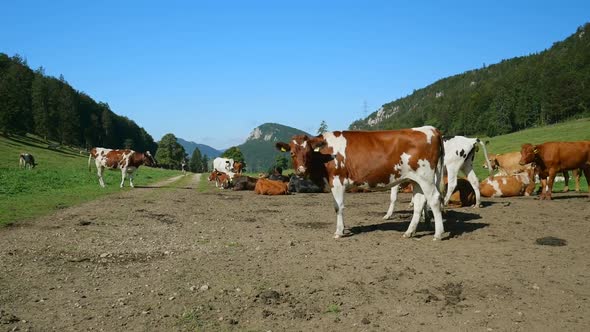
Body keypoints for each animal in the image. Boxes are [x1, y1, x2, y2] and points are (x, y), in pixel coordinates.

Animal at [276, 126, 444, 240]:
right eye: (292, 153)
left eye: (308, 153)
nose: (301, 171)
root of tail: (431, 129)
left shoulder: (337, 181)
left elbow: (338, 207)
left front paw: (339, 232)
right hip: (416, 180)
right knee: (420, 202)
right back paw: (409, 232)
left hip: (426, 177)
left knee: (434, 199)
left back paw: (438, 234)